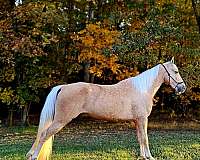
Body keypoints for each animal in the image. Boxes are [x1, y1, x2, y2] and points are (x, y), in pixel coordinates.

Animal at [27, 58, 186, 159]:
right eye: (176, 71)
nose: (182, 88)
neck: (142, 89)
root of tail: (63, 87)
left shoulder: (137, 121)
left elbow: (140, 138)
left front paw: (143, 156)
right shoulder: (142, 119)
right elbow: (145, 138)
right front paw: (149, 157)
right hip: (60, 121)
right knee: (44, 134)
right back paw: (34, 156)